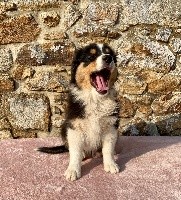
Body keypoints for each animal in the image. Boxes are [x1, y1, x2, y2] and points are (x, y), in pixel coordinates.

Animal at [37, 43, 120, 180]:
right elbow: (75, 152)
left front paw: (111, 164)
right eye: (90, 57)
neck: (95, 99)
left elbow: (108, 148)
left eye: (110, 54)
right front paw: (72, 171)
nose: (108, 58)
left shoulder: (111, 126)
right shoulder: (74, 127)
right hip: (64, 127)